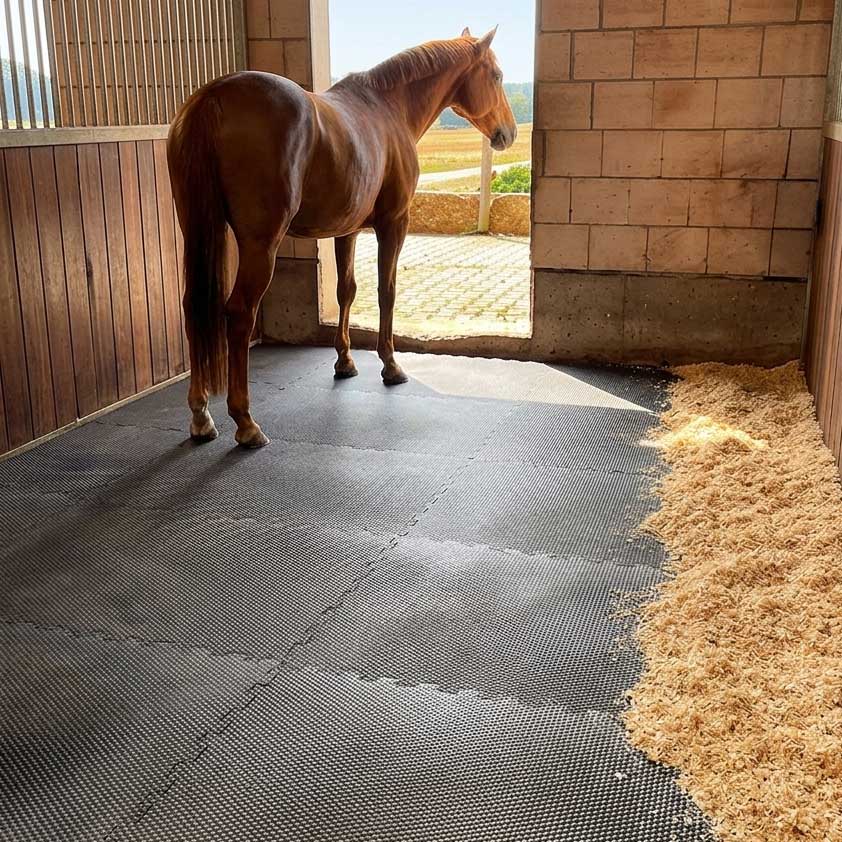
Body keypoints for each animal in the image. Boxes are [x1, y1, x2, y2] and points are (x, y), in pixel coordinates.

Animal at [167, 27, 517, 448]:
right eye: (496, 75)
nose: (509, 133)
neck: (389, 108)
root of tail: (213, 96)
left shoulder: (346, 230)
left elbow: (345, 290)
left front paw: (345, 362)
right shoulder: (393, 223)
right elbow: (386, 291)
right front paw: (390, 365)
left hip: (198, 229)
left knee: (193, 308)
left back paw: (201, 416)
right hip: (260, 245)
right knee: (238, 314)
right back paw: (246, 423)